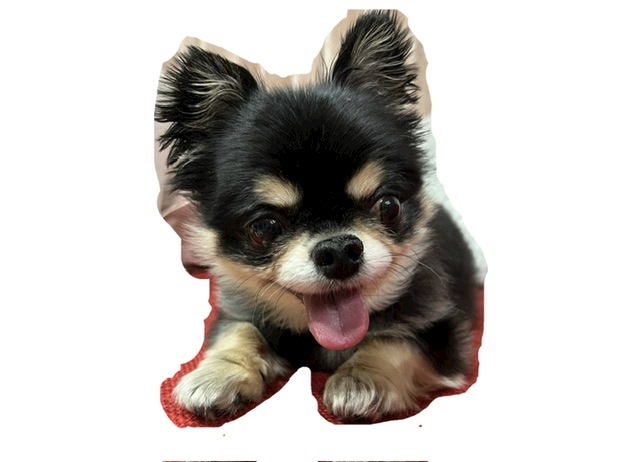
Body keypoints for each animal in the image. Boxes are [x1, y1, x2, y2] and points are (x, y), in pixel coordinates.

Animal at [155, 10, 479, 423]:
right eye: (264, 227)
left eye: (388, 206)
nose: (338, 250)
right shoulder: (239, 311)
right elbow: (236, 332)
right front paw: (217, 373)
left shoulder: (442, 331)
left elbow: (395, 340)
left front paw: (362, 377)